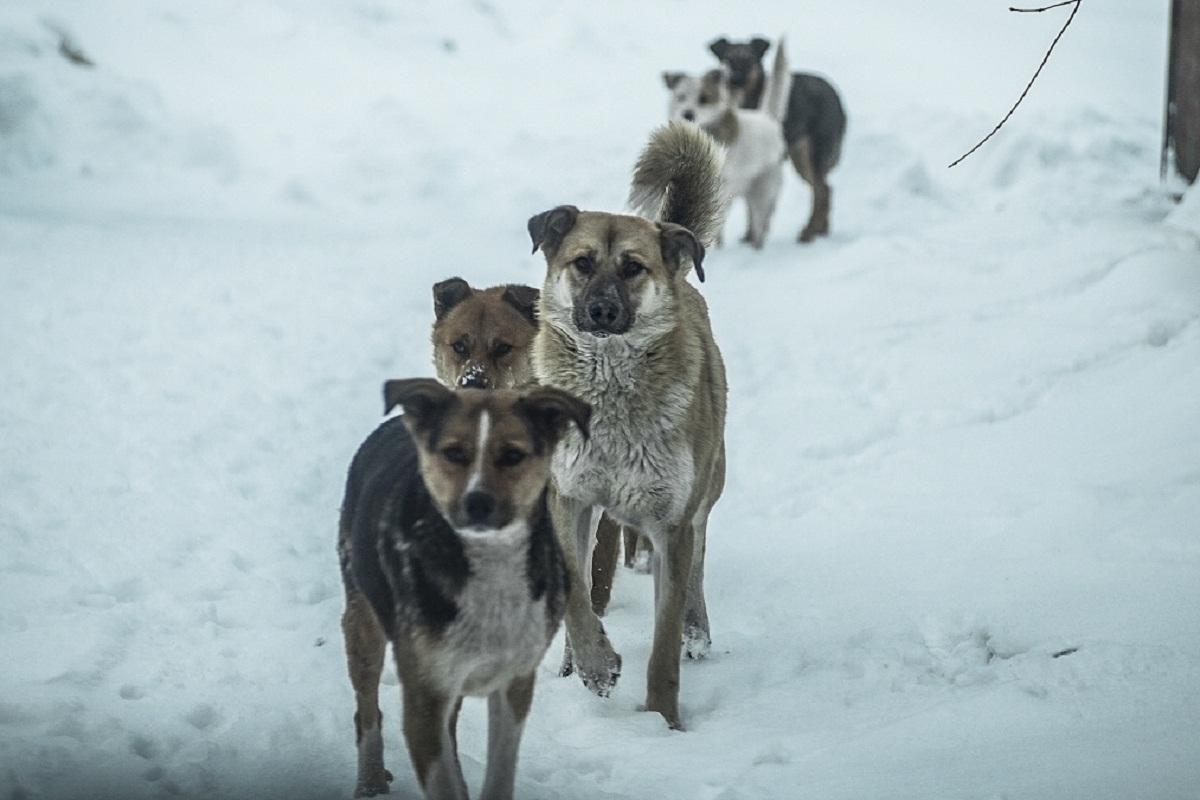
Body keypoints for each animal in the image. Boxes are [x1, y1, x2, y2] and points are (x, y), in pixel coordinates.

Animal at [340, 381, 588, 800]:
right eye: (454, 453)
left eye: (512, 455)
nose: (478, 502)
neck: (490, 564)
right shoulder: (424, 692)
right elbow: (441, 778)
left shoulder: (515, 678)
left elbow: (499, 771)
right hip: (362, 620)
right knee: (367, 709)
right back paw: (370, 781)